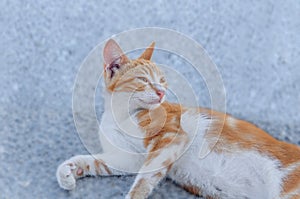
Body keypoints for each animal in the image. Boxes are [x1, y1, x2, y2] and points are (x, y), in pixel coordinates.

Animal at [56, 38, 300, 199]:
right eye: (144, 80)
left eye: (163, 81)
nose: (161, 93)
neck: (122, 116)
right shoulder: (127, 159)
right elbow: (94, 161)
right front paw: (70, 170)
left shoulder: (171, 136)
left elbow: (144, 178)